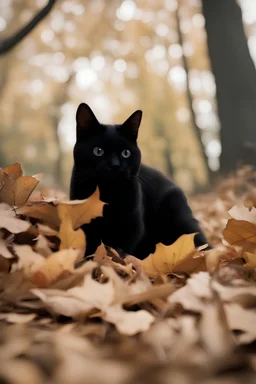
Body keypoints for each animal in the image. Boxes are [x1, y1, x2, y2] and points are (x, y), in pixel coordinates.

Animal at [69, 103, 208, 260]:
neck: (108, 194)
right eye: (98, 151)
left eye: (126, 153)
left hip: (177, 212)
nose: (115, 165)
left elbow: (121, 249)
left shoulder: (133, 225)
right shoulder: (83, 220)